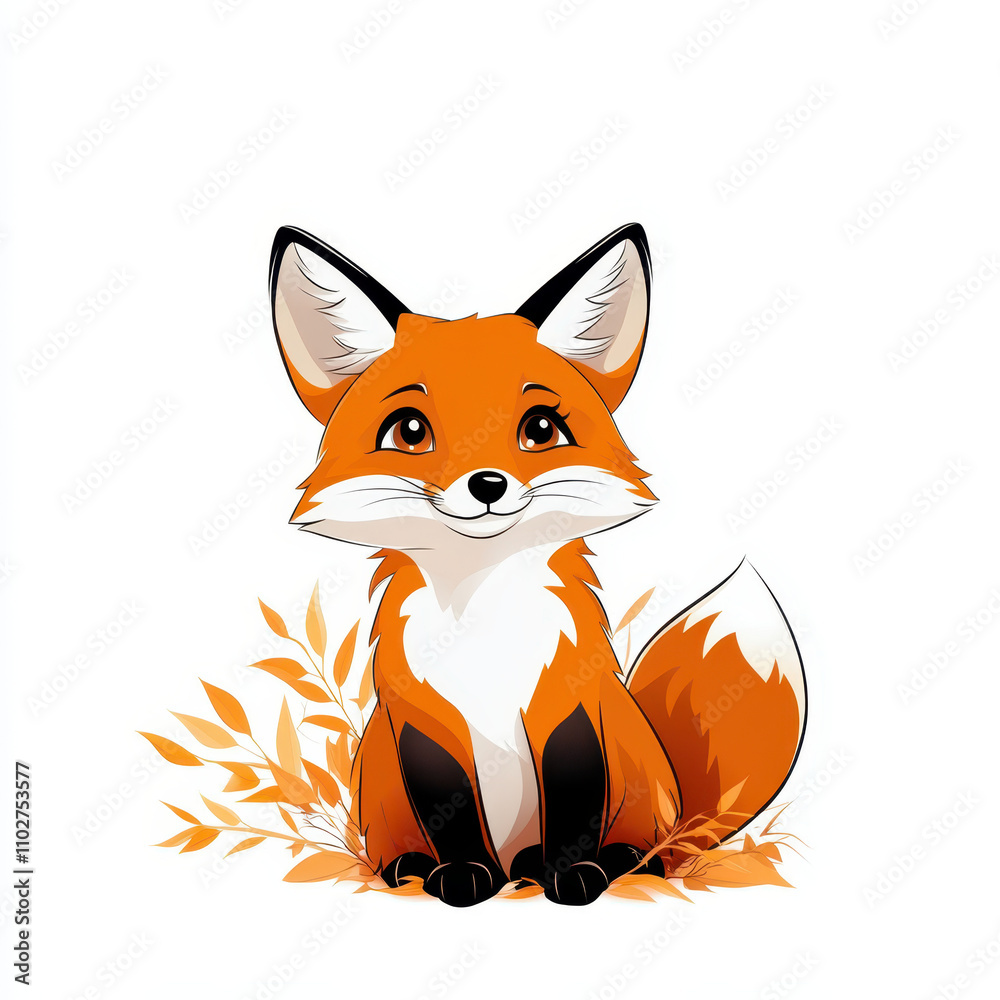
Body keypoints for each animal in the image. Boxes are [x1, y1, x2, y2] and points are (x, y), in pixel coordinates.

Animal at [268, 223, 806, 907]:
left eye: (541, 428)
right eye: (410, 430)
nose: (488, 484)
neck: (486, 627)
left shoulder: (568, 709)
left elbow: (574, 803)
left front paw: (574, 876)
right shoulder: (425, 722)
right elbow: (450, 810)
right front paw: (461, 875)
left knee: (647, 850)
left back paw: (606, 862)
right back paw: (427, 868)